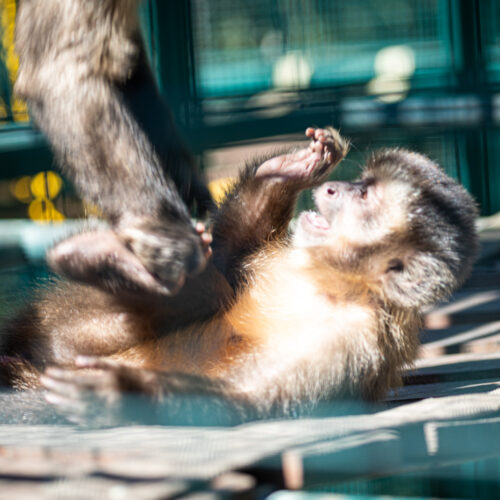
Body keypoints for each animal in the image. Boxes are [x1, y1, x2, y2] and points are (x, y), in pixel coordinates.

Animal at [0, 127, 476, 424]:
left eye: (364, 198)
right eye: (360, 183)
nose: (334, 189)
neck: (331, 283)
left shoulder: (360, 341)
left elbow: (243, 400)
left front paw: (120, 394)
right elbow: (227, 260)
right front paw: (291, 167)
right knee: (214, 286)